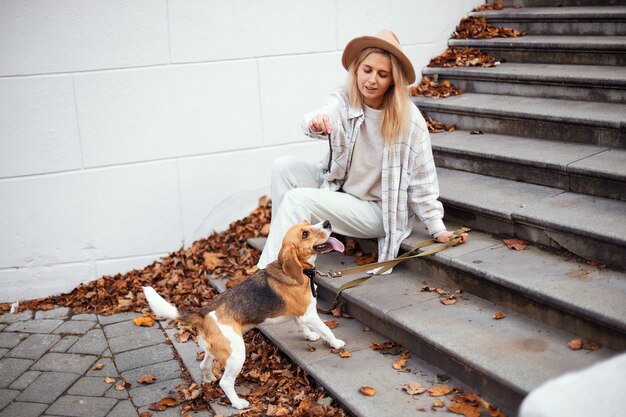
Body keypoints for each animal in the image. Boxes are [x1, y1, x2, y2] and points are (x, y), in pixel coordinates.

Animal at [143, 219, 346, 408]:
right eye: (305, 234)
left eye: (307, 222)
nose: (327, 223)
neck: (299, 270)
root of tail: (203, 312)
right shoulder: (309, 314)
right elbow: (326, 329)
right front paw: (336, 343)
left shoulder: (300, 314)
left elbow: (301, 326)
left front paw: (310, 335)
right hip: (237, 355)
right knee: (225, 383)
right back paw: (238, 403)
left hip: (216, 350)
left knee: (204, 365)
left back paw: (209, 379)